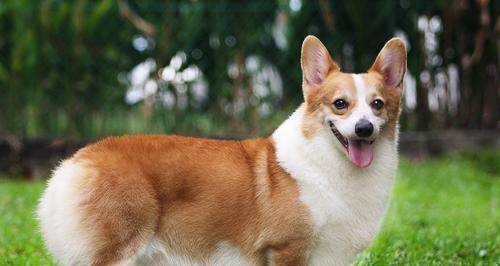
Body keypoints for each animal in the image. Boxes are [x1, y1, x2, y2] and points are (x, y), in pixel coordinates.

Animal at [38, 35, 406, 266]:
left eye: (377, 105)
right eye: (340, 104)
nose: (364, 129)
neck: (330, 165)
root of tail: (75, 163)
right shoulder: (287, 249)